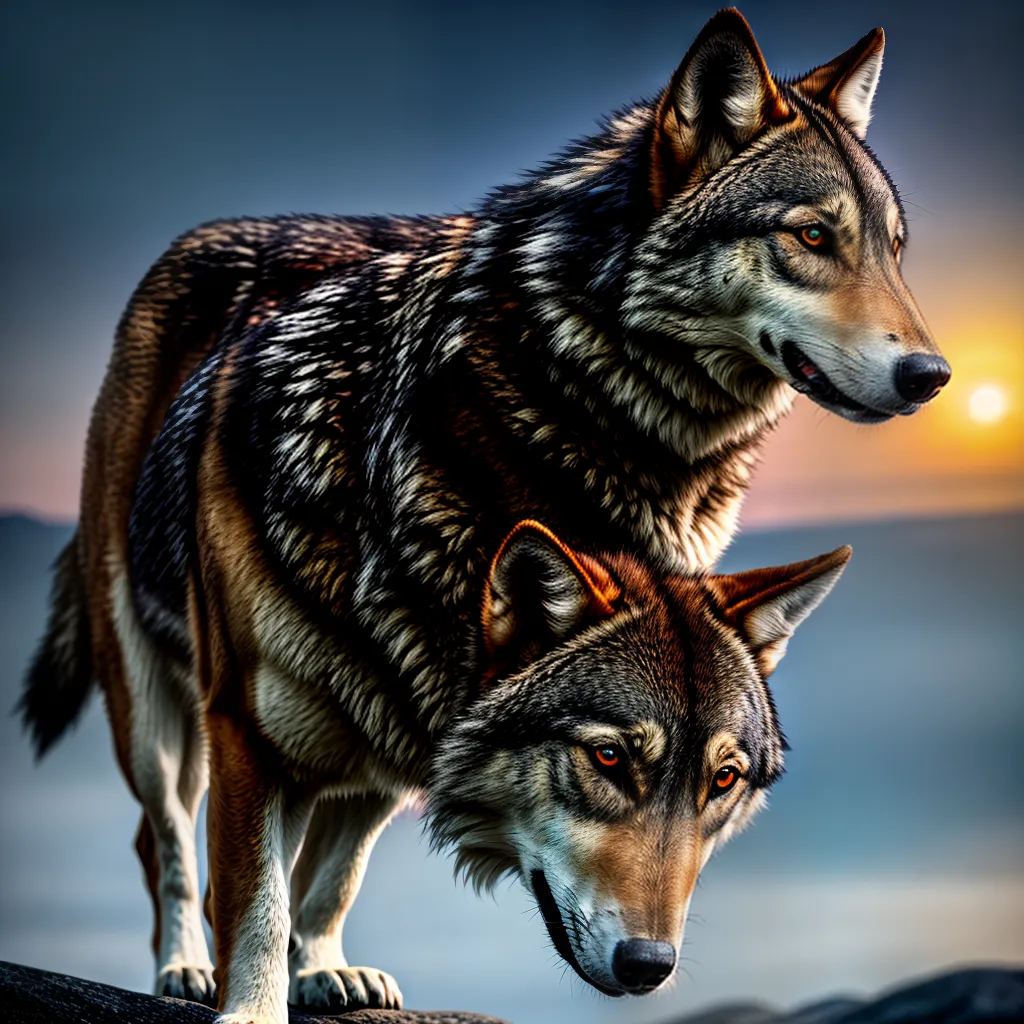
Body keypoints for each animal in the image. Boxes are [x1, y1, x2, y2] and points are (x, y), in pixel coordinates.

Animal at [22, 6, 933, 1020]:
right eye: (810, 235)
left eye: (895, 249)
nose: (931, 375)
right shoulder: (248, 730)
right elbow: (252, 898)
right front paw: (251, 1004)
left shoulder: (419, 708)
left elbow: (328, 875)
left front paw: (314, 966)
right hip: (154, 707)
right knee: (168, 841)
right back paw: (184, 967)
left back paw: (328, 968)